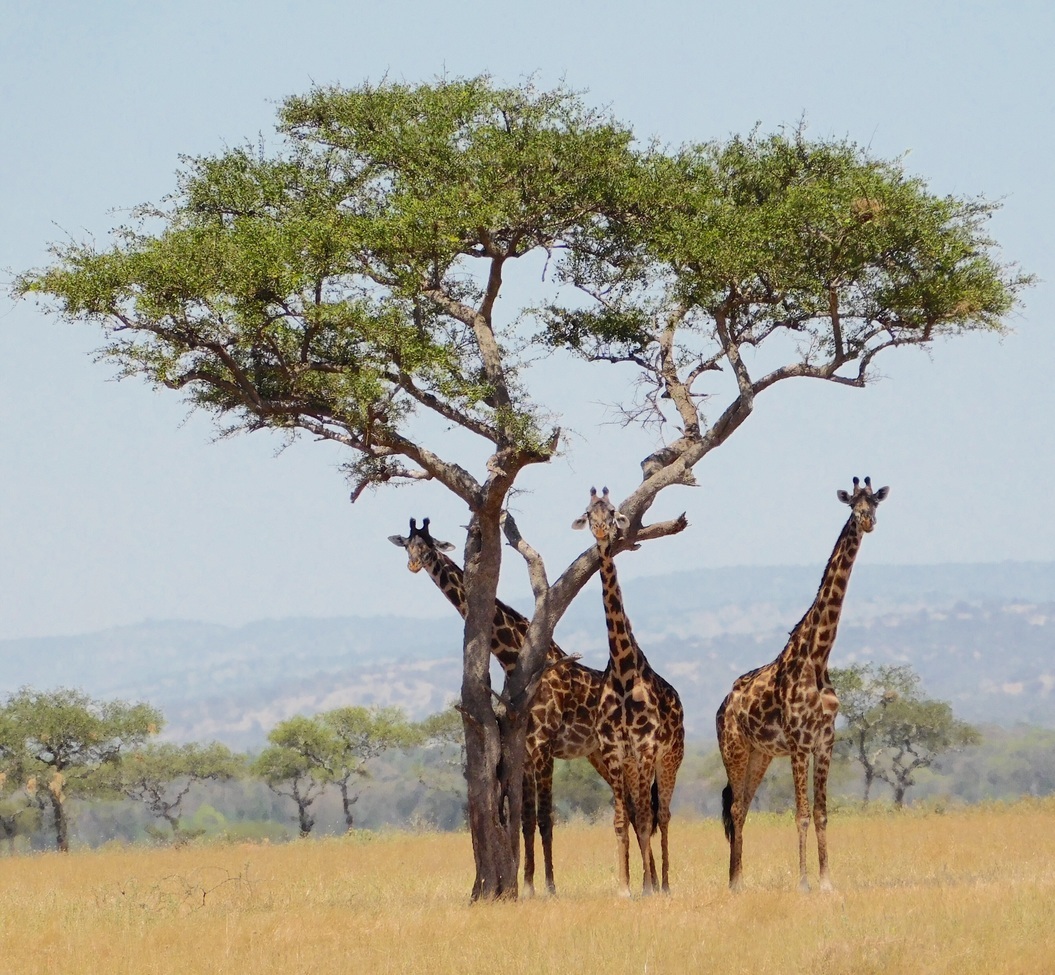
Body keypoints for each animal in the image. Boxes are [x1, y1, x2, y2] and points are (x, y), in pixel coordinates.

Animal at [388, 516, 615, 896]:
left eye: (430, 546)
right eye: (407, 544)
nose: (414, 564)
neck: (512, 659)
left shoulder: (544, 747)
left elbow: (545, 818)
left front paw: (550, 886)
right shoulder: (522, 746)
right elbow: (524, 819)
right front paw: (528, 885)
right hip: (597, 753)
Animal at [573, 487, 685, 896]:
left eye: (613, 511)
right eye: (588, 512)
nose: (602, 531)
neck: (622, 671)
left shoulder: (647, 747)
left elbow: (648, 817)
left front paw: (650, 886)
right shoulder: (614, 749)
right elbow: (624, 820)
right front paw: (624, 886)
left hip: (670, 758)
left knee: (662, 814)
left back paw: (664, 883)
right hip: (637, 763)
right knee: (642, 814)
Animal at [716, 476, 889, 892]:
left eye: (876, 502)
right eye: (852, 504)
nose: (868, 521)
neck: (818, 656)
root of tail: (721, 706)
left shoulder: (825, 742)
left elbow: (822, 813)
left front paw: (827, 881)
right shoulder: (798, 743)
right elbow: (802, 814)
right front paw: (804, 883)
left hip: (760, 755)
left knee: (741, 807)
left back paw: (737, 879)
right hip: (734, 748)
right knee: (735, 807)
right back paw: (735, 882)